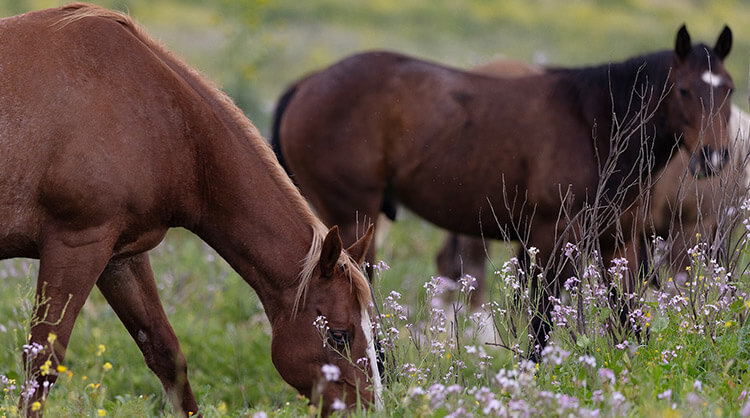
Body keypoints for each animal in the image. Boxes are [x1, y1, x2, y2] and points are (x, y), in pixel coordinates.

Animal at [1, 4, 382, 416]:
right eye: (339, 336)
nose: (371, 407)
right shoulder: (76, 245)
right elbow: (43, 361)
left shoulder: (120, 257)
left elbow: (166, 353)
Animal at [274, 24, 736, 356]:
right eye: (684, 90)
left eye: (728, 88)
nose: (714, 157)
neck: (594, 122)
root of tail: (309, 83)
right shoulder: (550, 238)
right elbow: (541, 322)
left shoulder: (617, 241)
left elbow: (629, 317)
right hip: (354, 220)